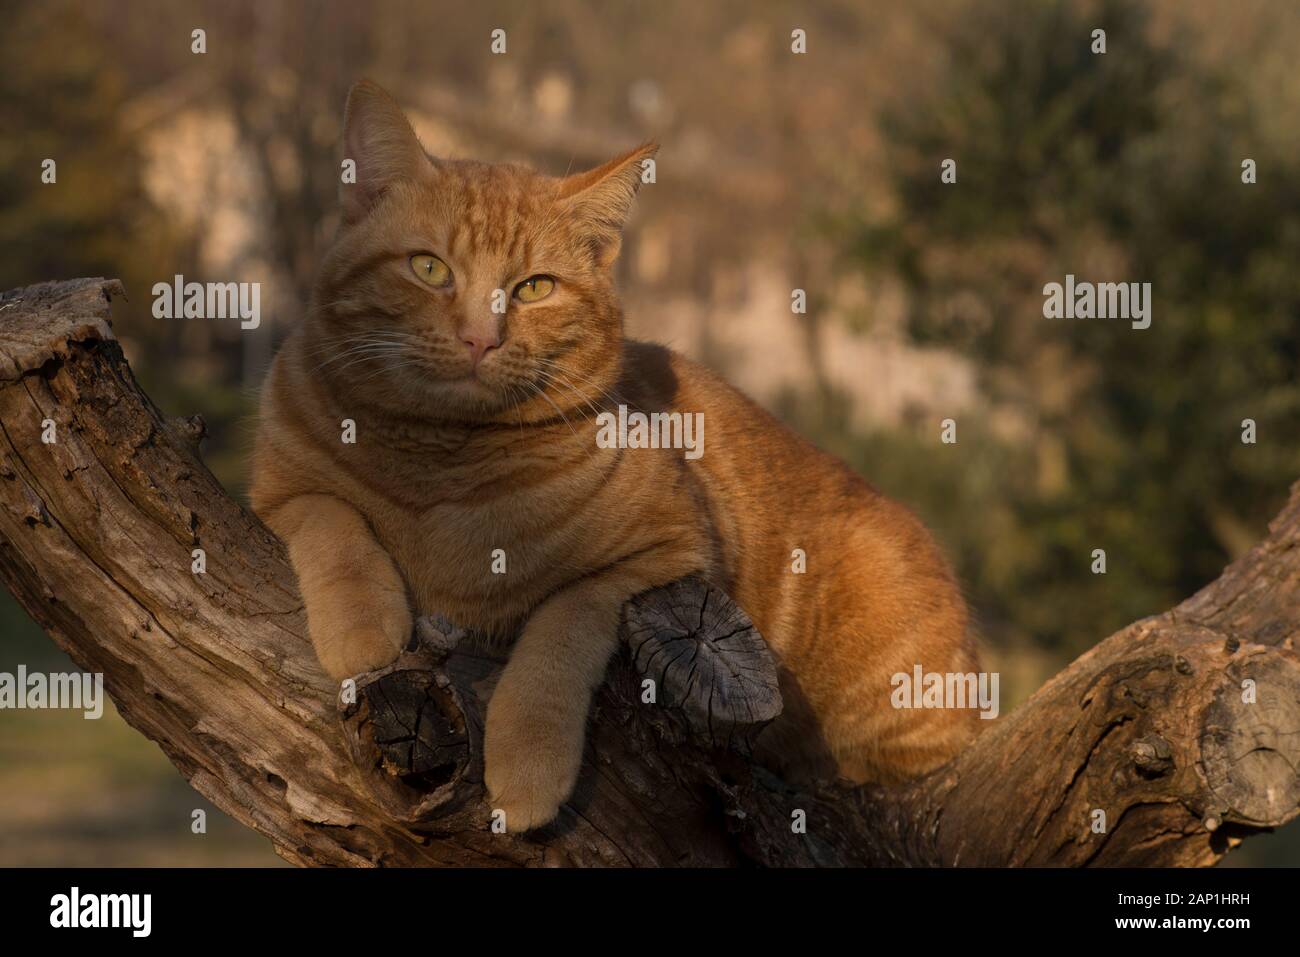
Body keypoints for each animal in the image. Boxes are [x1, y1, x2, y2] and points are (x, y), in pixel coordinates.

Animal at [250, 82, 982, 832]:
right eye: (429, 269)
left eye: (534, 288)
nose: (482, 338)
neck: (445, 461)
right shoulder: (276, 486)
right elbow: (332, 520)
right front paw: (362, 631)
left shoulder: (667, 553)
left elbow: (562, 627)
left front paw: (528, 765)